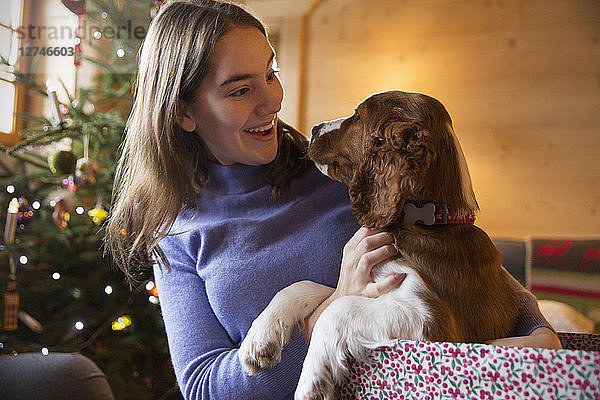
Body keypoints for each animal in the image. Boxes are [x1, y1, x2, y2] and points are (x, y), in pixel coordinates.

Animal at [239, 91, 520, 400]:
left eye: (358, 116)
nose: (313, 129)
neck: (427, 222)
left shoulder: (438, 325)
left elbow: (338, 308)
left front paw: (311, 385)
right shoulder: (366, 281)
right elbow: (309, 287)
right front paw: (259, 340)